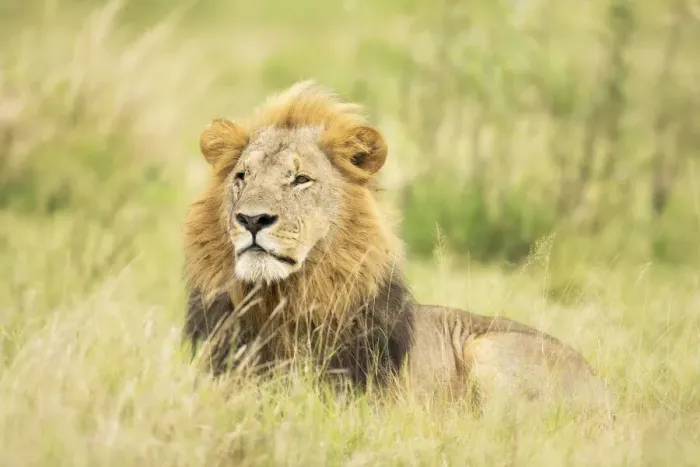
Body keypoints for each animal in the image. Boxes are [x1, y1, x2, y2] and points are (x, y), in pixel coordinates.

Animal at [182, 80, 612, 413]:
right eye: (242, 176)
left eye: (301, 179)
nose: (252, 220)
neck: (284, 300)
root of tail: (606, 390)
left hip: (488, 350)